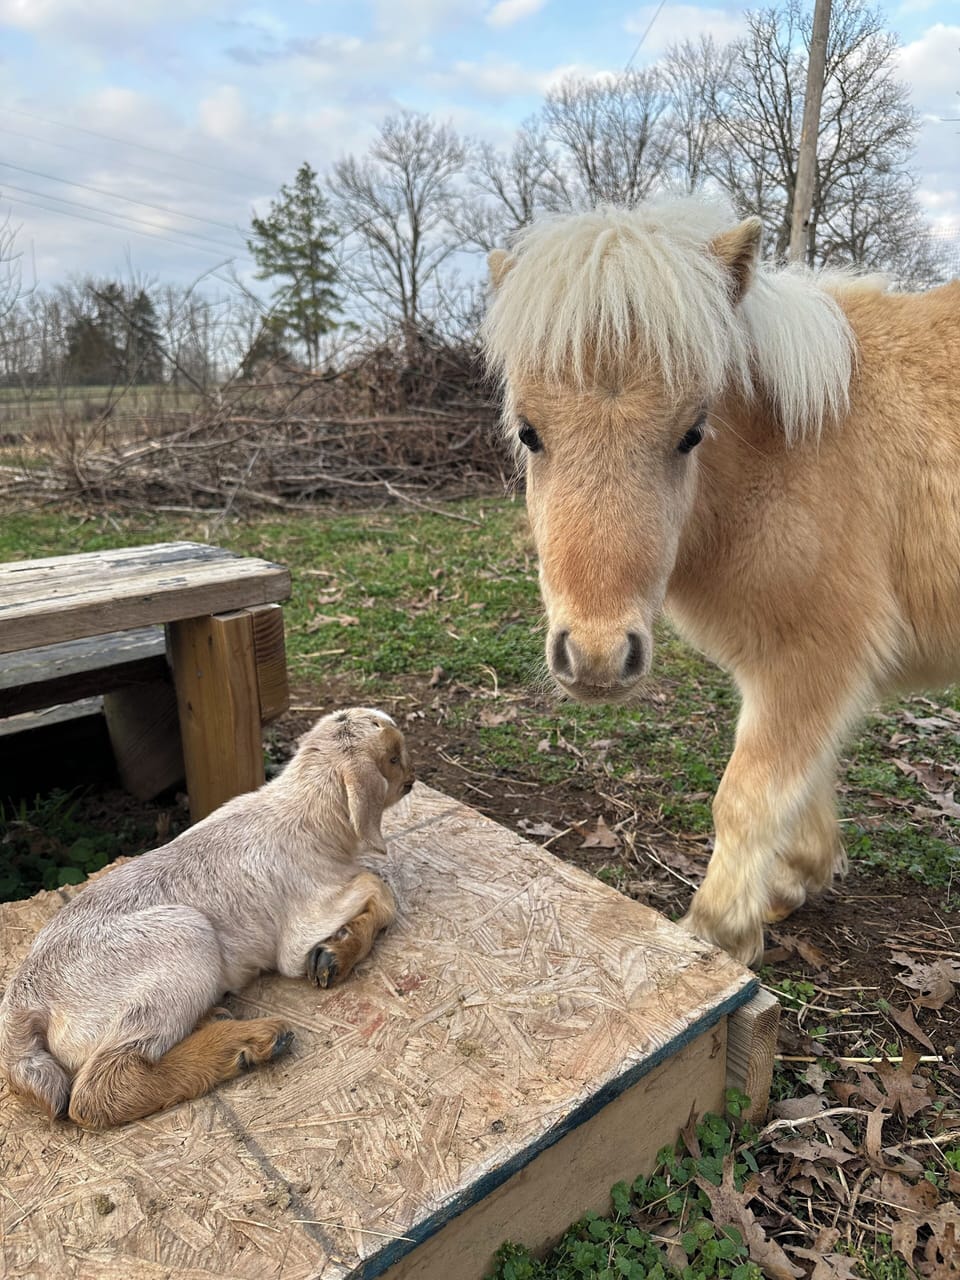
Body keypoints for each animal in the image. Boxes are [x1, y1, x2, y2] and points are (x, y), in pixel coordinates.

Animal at [481, 195, 960, 966]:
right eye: (529, 433)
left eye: (691, 433)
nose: (596, 658)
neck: (793, 450)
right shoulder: (792, 671)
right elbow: (804, 782)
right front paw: (794, 882)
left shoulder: (814, 659)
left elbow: (747, 797)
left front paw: (717, 934)